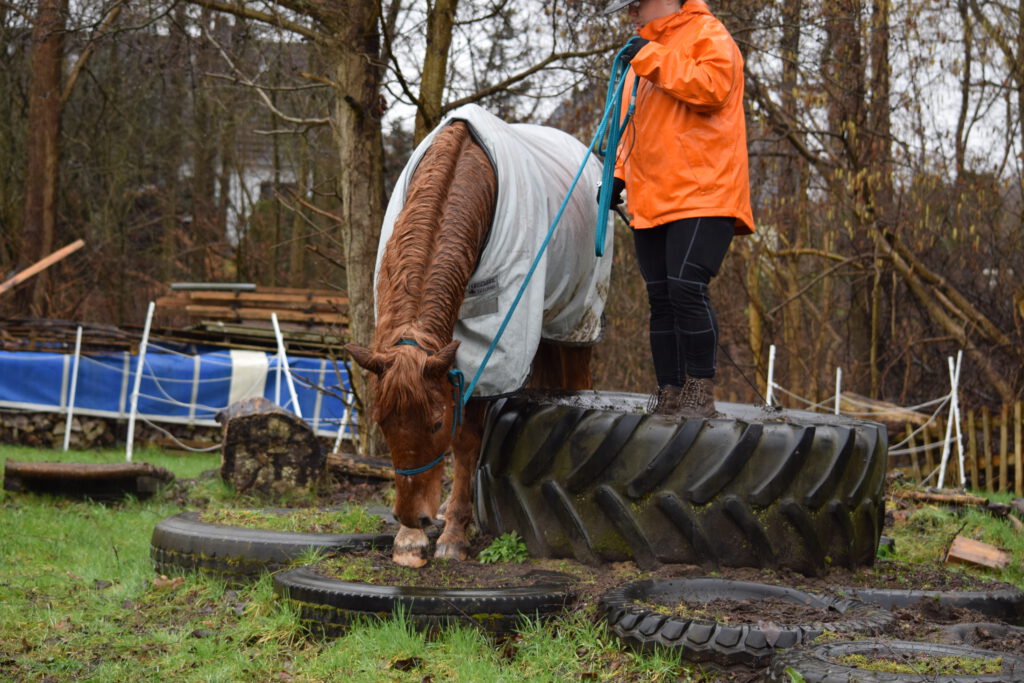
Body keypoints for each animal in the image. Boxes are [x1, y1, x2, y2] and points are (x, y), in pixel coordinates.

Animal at [348, 120, 598, 569]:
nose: (412, 516)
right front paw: (410, 540)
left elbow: (465, 443)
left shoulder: (492, 349)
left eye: (435, 424)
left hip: (577, 321)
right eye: (382, 422)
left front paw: (453, 534)